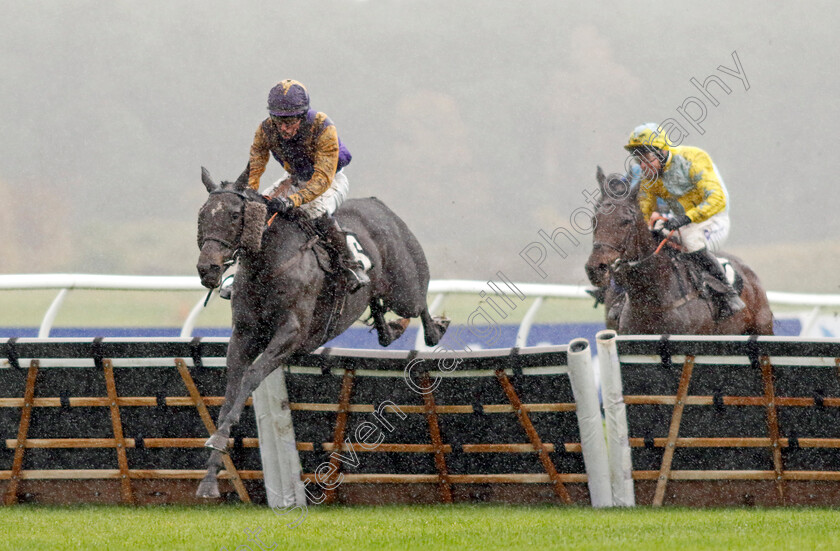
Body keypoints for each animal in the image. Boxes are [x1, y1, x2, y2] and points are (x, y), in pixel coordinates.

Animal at [194, 166, 450, 498]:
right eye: (203, 215)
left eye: (235, 215)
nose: (207, 268)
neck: (269, 264)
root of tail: (378, 204)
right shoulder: (243, 334)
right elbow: (231, 391)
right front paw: (210, 474)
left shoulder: (292, 334)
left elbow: (252, 376)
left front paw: (218, 441)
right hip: (377, 291)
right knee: (380, 314)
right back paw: (391, 328)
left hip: (404, 288)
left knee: (420, 305)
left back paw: (435, 329)